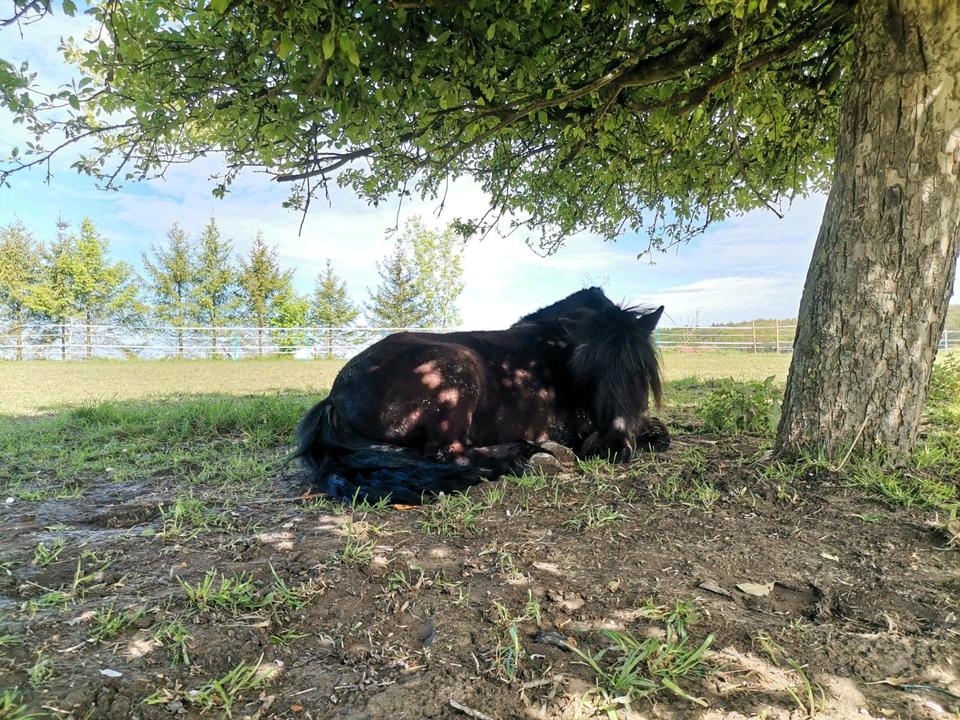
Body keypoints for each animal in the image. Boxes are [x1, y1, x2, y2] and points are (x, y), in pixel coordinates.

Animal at [296, 288, 672, 506]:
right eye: (589, 371)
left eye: (642, 371)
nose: (611, 447)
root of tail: (334, 395)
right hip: (457, 374)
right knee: (450, 454)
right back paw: (532, 455)